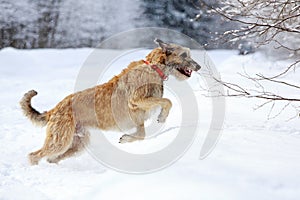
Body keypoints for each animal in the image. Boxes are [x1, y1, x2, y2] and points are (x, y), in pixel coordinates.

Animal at [19, 38, 200, 165]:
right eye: (184, 55)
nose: (198, 67)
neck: (154, 67)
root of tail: (54, 110)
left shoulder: (138, 118)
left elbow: (142, 134)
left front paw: (127, 138)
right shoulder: (137, 100)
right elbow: (167, 101)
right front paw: (161, 117)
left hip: (78, 142)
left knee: (52, 158)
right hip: (60, 140)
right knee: (35, 155)